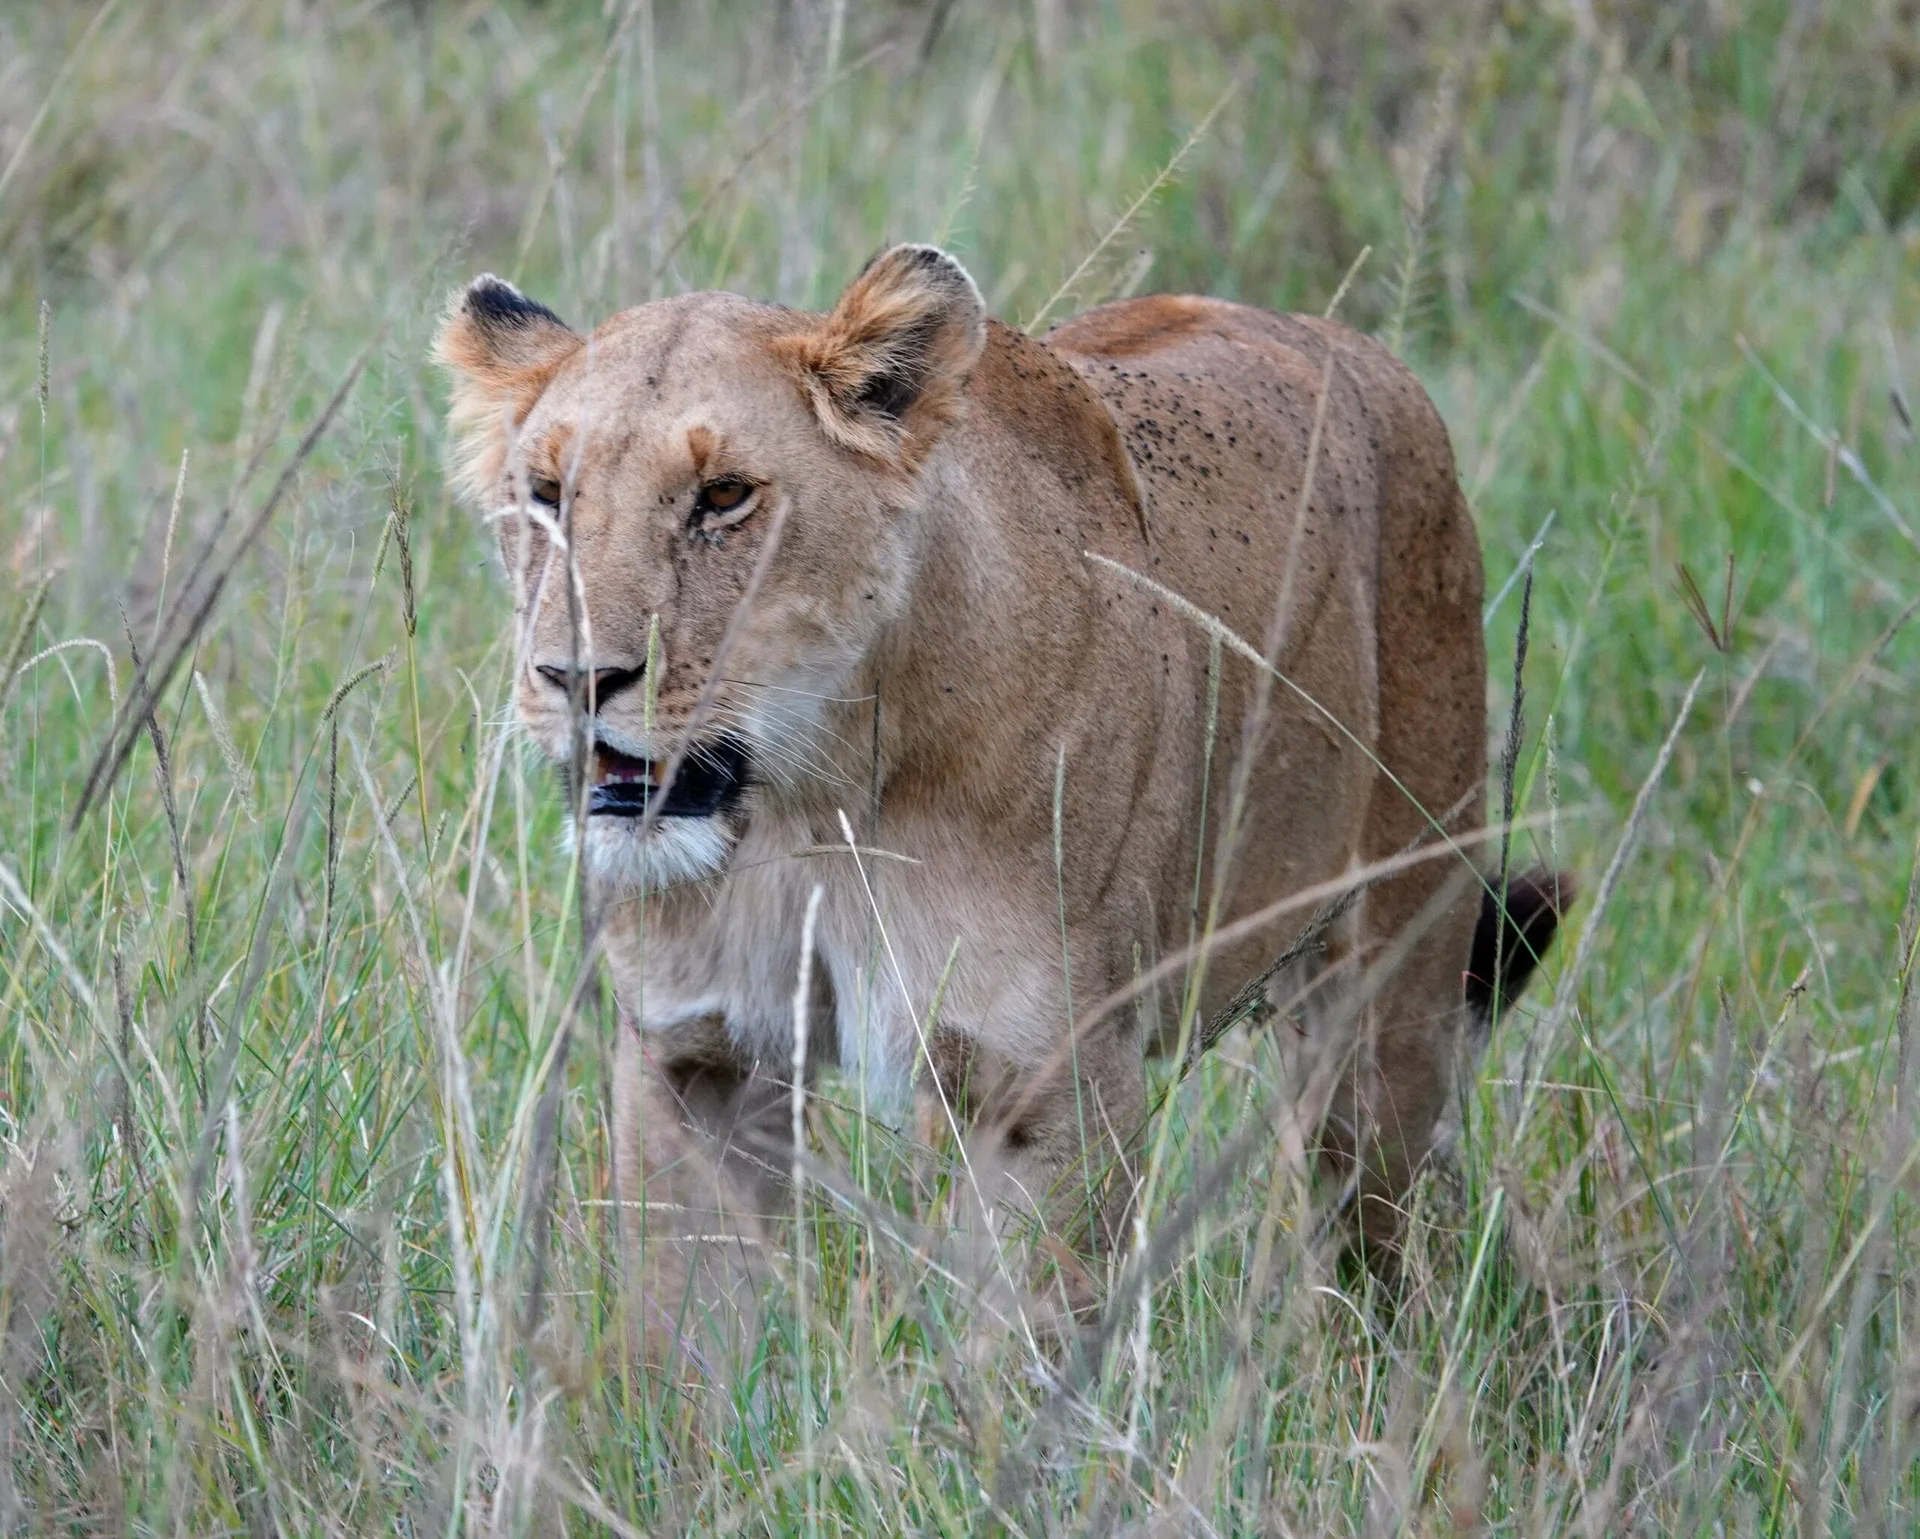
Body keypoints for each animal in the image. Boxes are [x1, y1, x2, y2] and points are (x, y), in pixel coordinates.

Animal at [435, 245, 1565, 1347]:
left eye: (724, 496)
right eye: (548, 493)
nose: (576, 679)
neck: (809, 802)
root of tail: (1362, 350)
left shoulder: (1042, 1084)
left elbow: (1017, 1360)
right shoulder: (692, 1059)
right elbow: (681, 1338)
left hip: (1391, 996)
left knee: (1378, 1232)